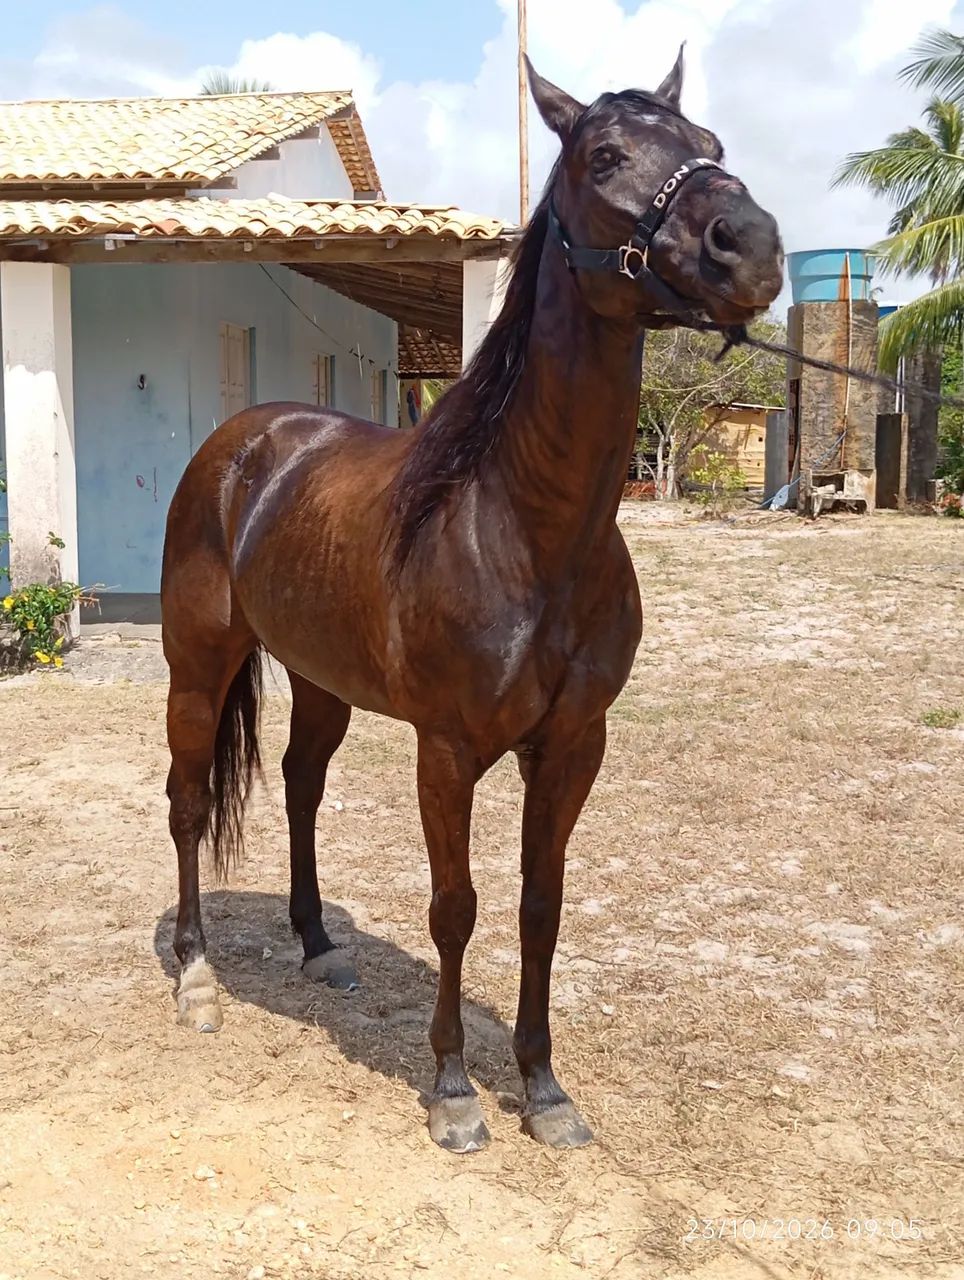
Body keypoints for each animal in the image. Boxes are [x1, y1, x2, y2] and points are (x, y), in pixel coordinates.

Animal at [160, 50, 784, 1154]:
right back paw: (195, 974)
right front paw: (454, 1089)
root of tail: (243, 442)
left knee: (300, 785)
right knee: (187, 802)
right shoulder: (446, 750)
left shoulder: (573, 745)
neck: (527, 530)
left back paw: (318, 943)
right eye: (604, 156)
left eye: (709, 145)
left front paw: (544, 1087)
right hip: (197, 667)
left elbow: (541, 905)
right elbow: (455, 904)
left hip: (320, 682)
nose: (750, 245)